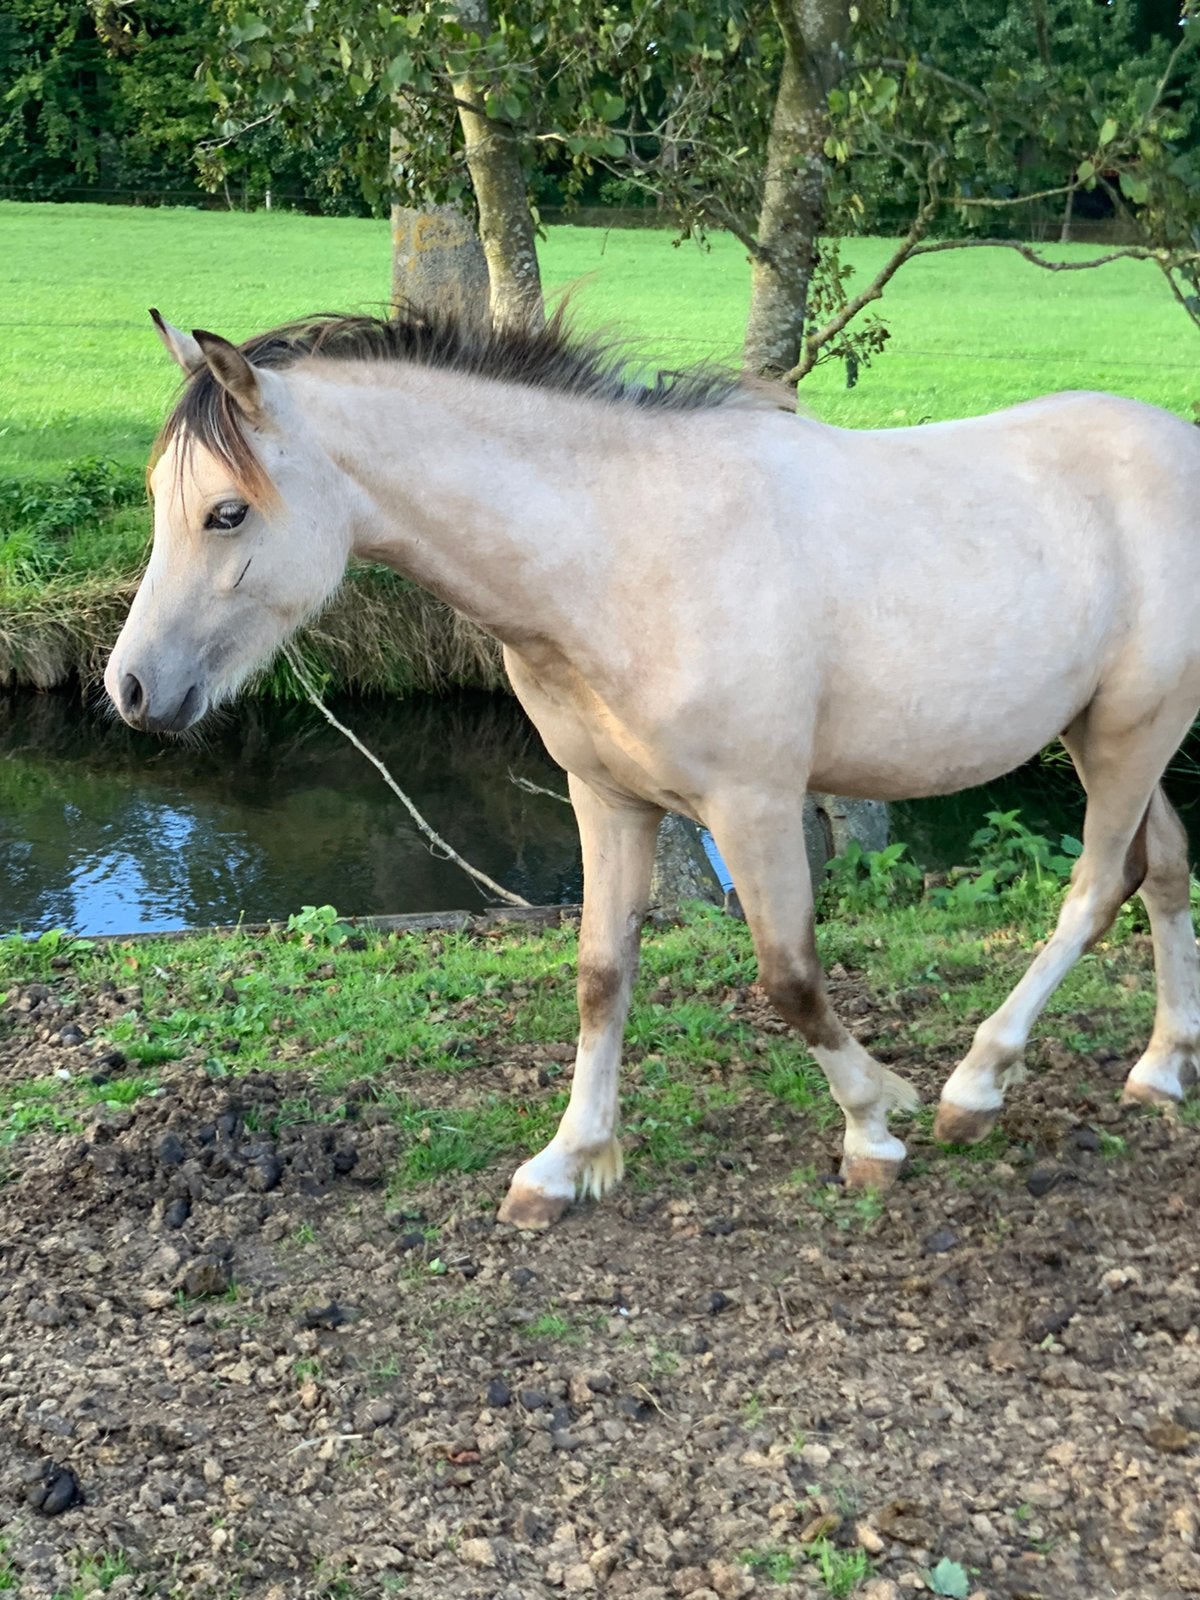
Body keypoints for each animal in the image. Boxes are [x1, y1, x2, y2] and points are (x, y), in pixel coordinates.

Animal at [105, 305, 1200, 1228]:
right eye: (160, 498)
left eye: (227, 512)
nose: (132, 689)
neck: (625, 548)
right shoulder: (609, 800)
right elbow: (602, 974)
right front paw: (567, 1163)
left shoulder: (754, 806)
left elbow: (791, 976)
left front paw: (874, 1123)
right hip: (1107, 735)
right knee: (1164, 868)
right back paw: (1160, 1068)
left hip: (1129, 733)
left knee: (1097, 884)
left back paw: (975, 1087)